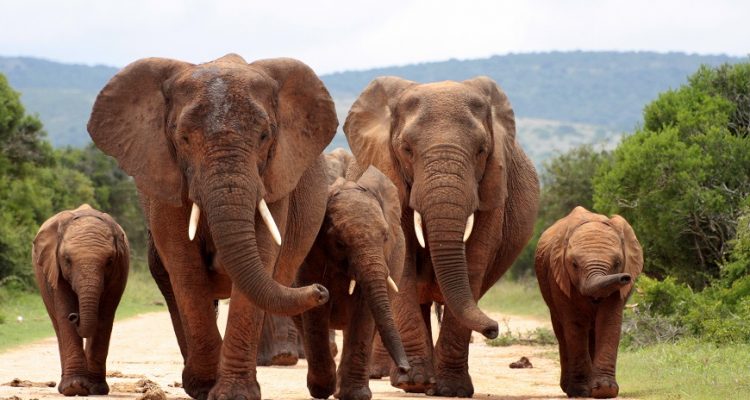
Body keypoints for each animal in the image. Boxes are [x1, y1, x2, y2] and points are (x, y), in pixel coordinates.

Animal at [31, 204, 129, 396]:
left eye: (109, 261)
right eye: (67, 260)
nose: (74, 316)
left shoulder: (119, 270)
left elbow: (105, 316)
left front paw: (96, 389)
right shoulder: (54, 268)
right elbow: (63, 311)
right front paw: (74, 388)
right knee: (57, 324)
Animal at [87, 54, 338, 400]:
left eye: (264, 136)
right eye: (183, 139)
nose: (321, 290)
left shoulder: (274, 178)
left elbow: (261, 256)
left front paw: (234, 394)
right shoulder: (165, 177)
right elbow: (185, 266)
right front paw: (206, 386)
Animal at [296, 161, 410, 400]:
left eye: (386, 237)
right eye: (339, 243)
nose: (405, 369)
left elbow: (364, 310)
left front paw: (355, 395)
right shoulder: (310, 254)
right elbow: (315, 309)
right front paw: (323, 390)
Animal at [344, 76, 539, 397]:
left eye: (482, 150)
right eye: (406, 149)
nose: (494, 329)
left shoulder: (493, 187)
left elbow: (474, 260)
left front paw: (452, 390)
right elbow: (403, 263)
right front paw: (415, 383)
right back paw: (406, 379)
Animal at [535, 206, 643, 398]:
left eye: (617, 263)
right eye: (574, 264)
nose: (625, 278)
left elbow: (609, 321)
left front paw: (604, 390)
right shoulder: (559, 277)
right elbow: (575, 325)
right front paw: (581, 391)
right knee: (562, 332)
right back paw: (568, 388)